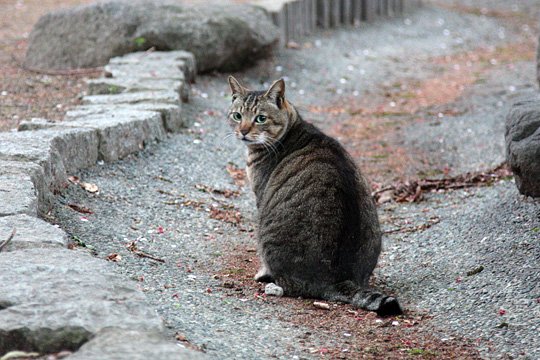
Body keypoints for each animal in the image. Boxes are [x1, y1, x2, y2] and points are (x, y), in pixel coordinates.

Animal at [227, 75, 400, 316]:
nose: (243, 131)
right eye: (237, 116)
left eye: (260, 118)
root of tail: (339, 279)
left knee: (291, 286)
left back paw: (273, 285)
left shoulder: (260, 196)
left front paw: (262, 272)